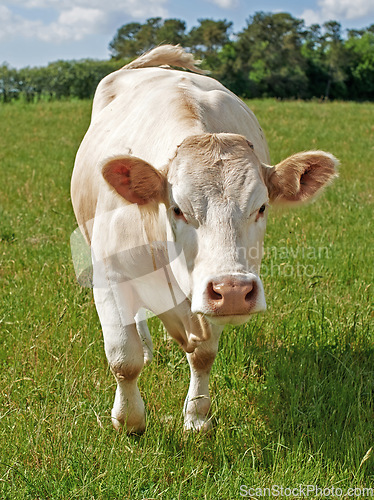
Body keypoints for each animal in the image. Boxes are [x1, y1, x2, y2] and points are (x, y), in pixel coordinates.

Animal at [71, 46, 338, 434]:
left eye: (261, 207)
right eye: (178, 209)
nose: (233, 290)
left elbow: (203, 355)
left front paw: (197, 417)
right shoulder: (110, 275)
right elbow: (124, 358)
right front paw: (129, 420)